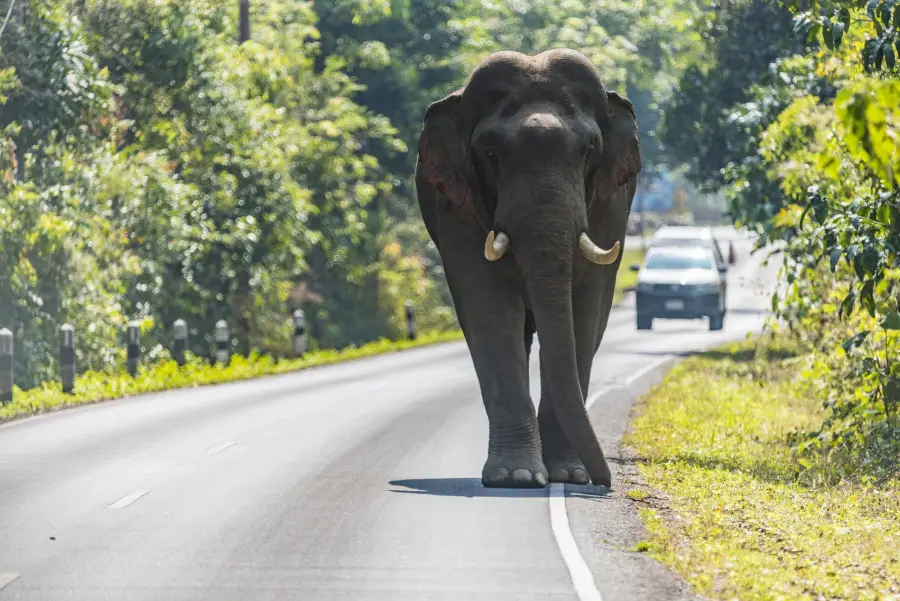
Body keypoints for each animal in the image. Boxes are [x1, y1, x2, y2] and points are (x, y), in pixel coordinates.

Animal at [414, 49, 642, 488]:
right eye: (490, 154)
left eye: (588, 150)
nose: (605, 481)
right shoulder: (456, 204)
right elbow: (488, 307)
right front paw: (517, 477)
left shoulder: (610, 205)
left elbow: (586, 312)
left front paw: (570, 475)